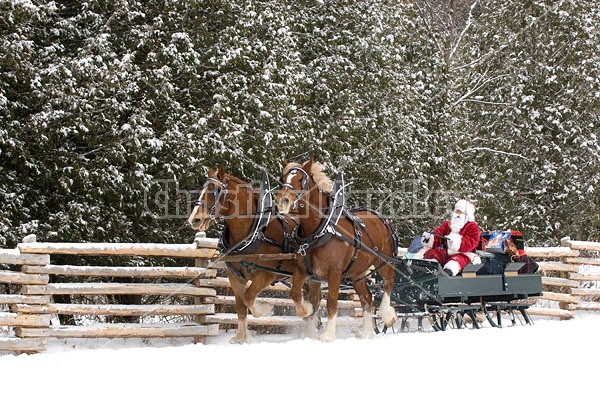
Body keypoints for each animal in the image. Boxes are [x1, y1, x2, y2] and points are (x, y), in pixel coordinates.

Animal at [188, 166, 322, 344]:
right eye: (201, 190)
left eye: (214, 191)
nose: (194, 219)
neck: (254, 232)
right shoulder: (235, 277)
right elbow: (241, 307)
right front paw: (241, 338)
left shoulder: (265, 276)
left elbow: (249, 298)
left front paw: (266, 310)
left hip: (313, 277)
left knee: (315, 302)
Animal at [276, 159, 398, 342]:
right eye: (283, 179)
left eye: (300, 179)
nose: (282, 201)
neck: (320, 229)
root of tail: (382, 219)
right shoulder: (303, 271)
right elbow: (296, 294)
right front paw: (307, 311)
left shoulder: (334, 274)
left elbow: (332, 303)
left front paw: (327, 334)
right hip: (357, 273)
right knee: (367, 298)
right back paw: (366, 332)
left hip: (385, 262)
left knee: (388, 283)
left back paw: (388, 315)